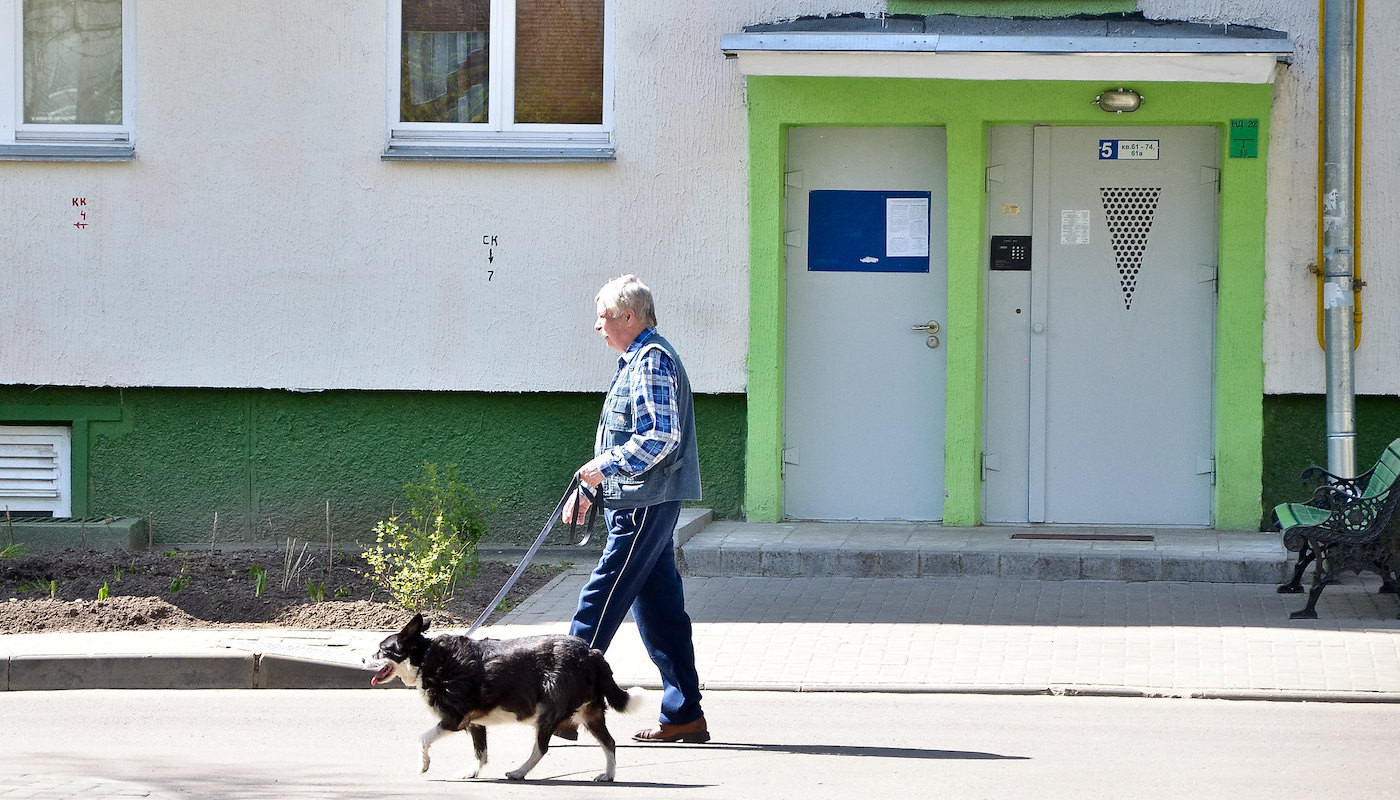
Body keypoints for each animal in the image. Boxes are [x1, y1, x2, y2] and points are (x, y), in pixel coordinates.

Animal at [361, 613, 644, 784]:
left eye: (381, 650)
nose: (363, 659)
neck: (426, 658)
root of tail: (592, 653)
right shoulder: (475, 723)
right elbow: (481, 753)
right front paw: (472, 772)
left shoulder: (454, 718)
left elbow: (422, 739)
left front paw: (423, 765)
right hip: (591, 714)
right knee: (609, 743)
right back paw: (608, 774)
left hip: (548, 713)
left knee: (541, 748)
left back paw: (519, 771)